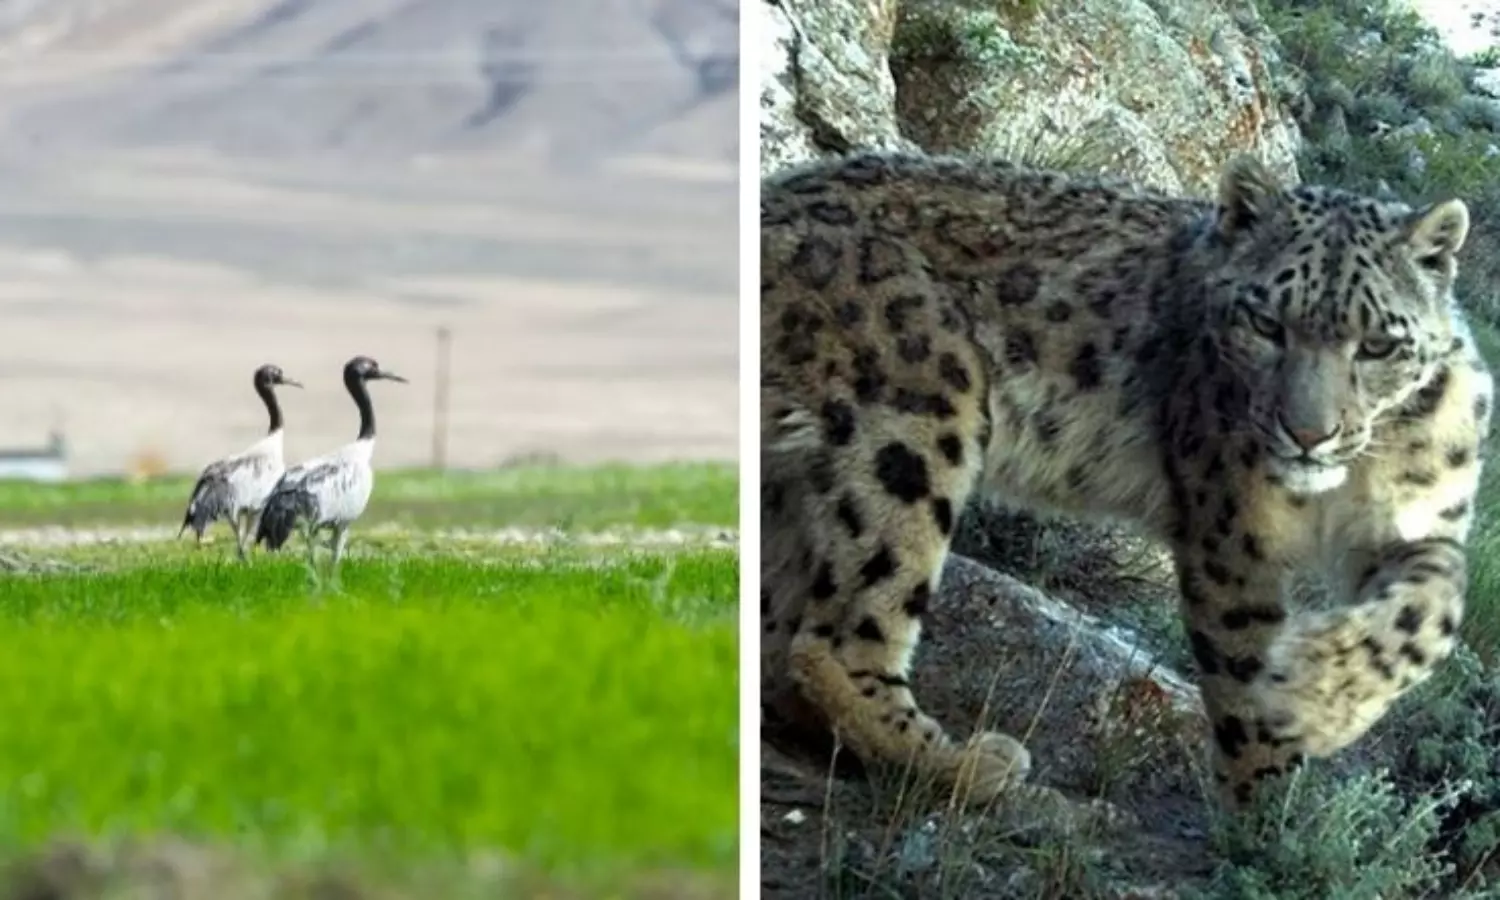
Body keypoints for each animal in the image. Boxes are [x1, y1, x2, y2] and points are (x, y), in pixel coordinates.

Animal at [759, 148, 1494, 811]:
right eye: (1265, 323)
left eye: (1378, 344)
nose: (1307, 433)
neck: (1356, 476)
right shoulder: (1235, 535)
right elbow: (1245, 663)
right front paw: (1272, 809)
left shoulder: (1418, 520)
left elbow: (1436, 609)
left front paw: (1324, 696)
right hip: (919, 410)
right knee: (832, 638)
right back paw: (967, 767)